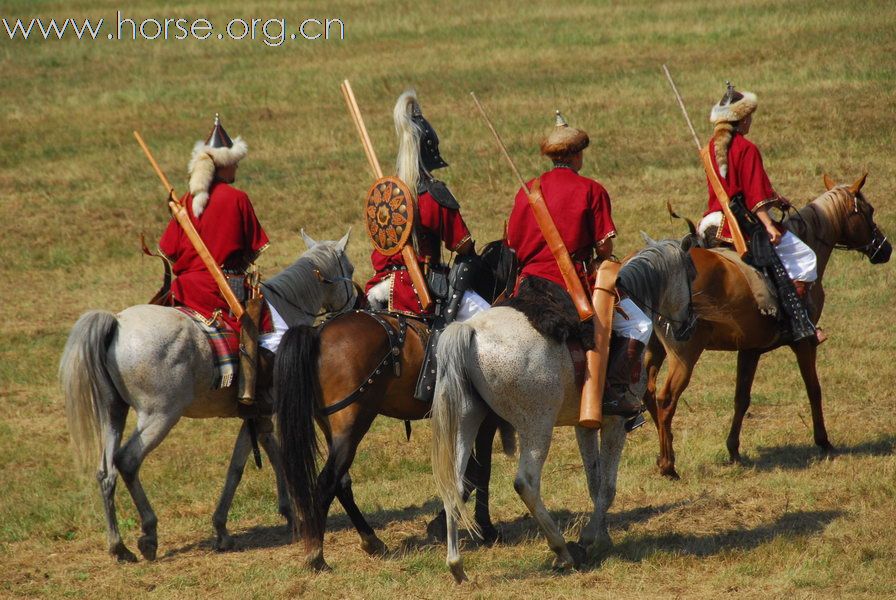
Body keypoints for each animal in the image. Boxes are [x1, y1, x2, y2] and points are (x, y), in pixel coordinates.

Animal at [57, 231, 358, 564]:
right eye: (350, 268)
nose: (358, 301)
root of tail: (117, 322)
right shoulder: (269, 410)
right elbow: (243, 465)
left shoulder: (258, 413)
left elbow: (264, 455)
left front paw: (271, 516)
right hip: (160, 415)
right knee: (128, 461)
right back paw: (148, 534)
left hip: (113, 411)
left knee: (105, 471)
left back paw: (118, 546)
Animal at [278, 238, 520, 568]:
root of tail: (318, 333)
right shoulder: (486, 419)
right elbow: (479, 472)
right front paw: (484, 528)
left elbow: (469, 473)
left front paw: (445, 523)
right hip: (352, 425)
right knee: (327, 481)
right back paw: (316, 555)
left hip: (333, 428)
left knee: (341, 482)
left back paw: (371, 540)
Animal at [430, 238, 696, 580]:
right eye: (690, 274)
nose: (689, 326)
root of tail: (471, 331)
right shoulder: (614, 423)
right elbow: (607, 486)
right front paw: (590, 539)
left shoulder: (585, 424)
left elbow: (594, 481)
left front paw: (600, 535)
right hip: (537, 427)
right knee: (526, 483)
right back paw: (562, 550)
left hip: (468, 420)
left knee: (454, 481)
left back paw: (456, 565)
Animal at [644, 173, 888, 478]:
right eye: (869, 211)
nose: (885, 249)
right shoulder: (804, 342)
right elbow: (814, 388)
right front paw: (824, 442)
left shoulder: (749, 349)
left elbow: (741, 398)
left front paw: (733, 450)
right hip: (684, 354)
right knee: (665, 399)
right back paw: (669, 465)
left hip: (655, 349)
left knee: (648, 393)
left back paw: (664, 454)